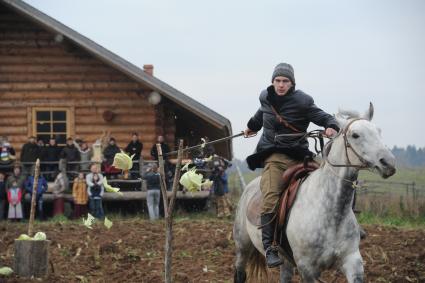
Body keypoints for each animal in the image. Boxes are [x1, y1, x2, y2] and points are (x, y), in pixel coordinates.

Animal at [232, 105, 394, 283]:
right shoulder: (307, 269)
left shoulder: (352, 261)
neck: (331, 213)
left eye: (378, 131)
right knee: (240, 272)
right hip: (242, 247)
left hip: (285, 261)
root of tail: (248, 188)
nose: (388, 163)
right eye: (355, 135)